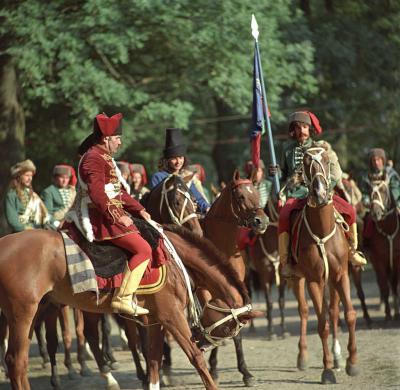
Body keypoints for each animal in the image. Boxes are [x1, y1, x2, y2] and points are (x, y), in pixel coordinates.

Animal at [0, 225, 260, 390]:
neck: (175, 259)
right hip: (23, 313)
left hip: (37, 311)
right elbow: (196, 358)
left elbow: (154, 362)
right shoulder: (172, 317)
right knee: (16, 361)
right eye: (228, 329)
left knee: (20, 362)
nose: (204, 341)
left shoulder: (157, 321)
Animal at [200, 170, 268, 386]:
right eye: (240, 196)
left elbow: (232, 327)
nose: (262, 222)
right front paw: (212, 368)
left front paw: (246, 373)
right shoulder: (204, 292)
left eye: (256, 192)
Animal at [288, 144, 360, 384]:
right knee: (303, 311)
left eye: (328, 161)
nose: (319, 194)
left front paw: (351, 363)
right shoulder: (313, 280)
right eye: (305, 163)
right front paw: (327, 370)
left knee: (334, 310)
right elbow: (322, 325)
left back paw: (338, 357)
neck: (322, 231)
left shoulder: (341, 275)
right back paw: (302, 356)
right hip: (298, 279)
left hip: (333, 281)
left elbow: (349, 315)